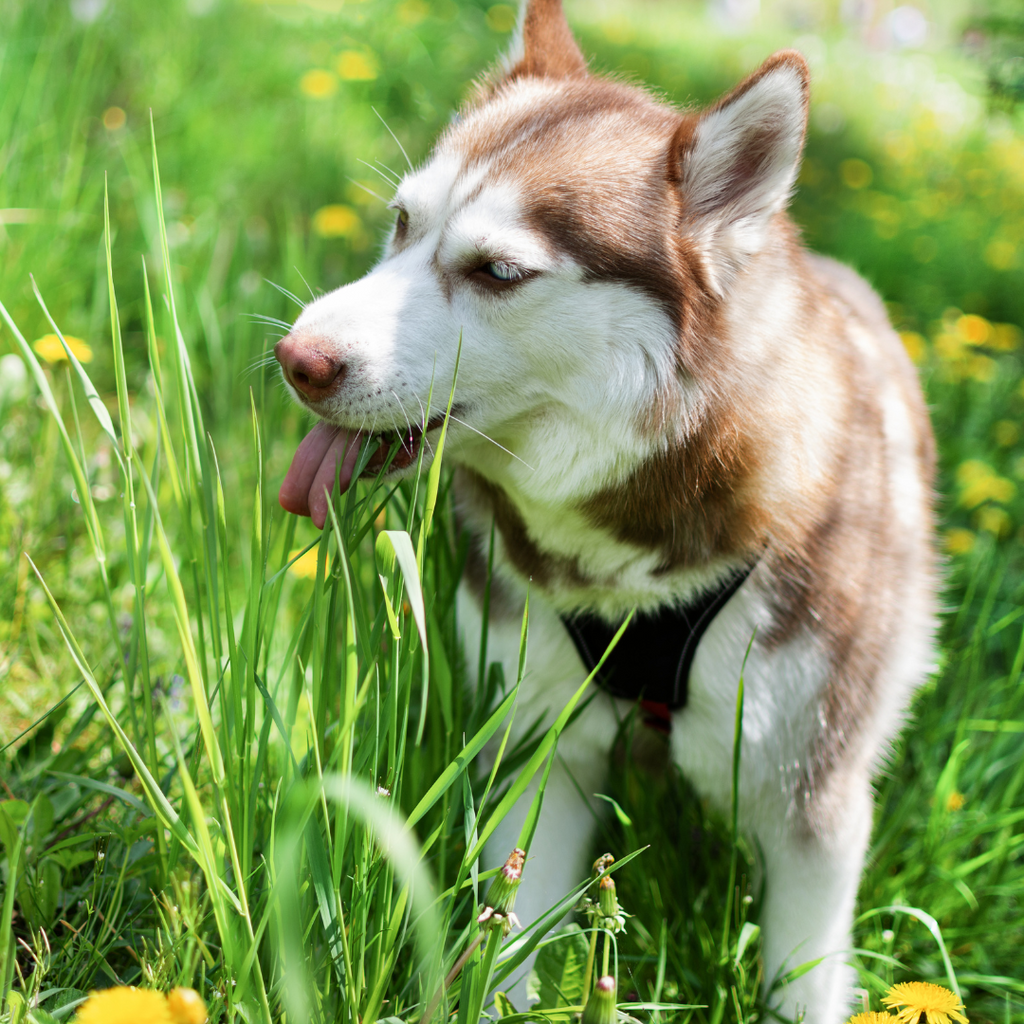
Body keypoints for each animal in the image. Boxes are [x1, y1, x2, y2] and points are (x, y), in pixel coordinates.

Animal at [272, 4, 937, 1019]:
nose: (296, 359)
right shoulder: (538, 747)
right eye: (401, 221)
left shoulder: (812, 803)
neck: (633, 565)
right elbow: (509, 938)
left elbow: (802, 974)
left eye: (498, 271)